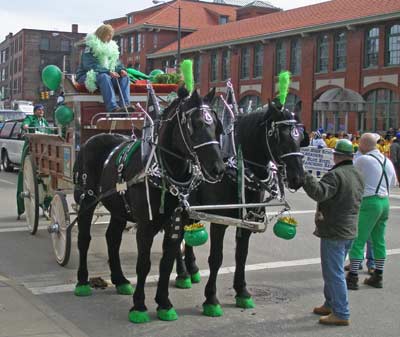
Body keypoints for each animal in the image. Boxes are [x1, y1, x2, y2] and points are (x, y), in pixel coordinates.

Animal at [73, 87, 225, 322]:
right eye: (196, 124)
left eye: (217, 125)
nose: (218, 168)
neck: (164, 171)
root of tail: (92, 139)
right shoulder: (145, 226)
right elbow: (143, 264)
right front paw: (139, 306)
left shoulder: (175, 225)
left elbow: (166, 263)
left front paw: (164, 303)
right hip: (86, 200)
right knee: (84, 238)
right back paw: (82, 281)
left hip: (118, 207)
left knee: (112, 238)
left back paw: (120, 280)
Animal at [175, 98, 304, 316]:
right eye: (280, 137)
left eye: (300, 136)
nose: (299, 178)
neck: (237, 173)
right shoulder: (219, 222)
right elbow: (216, 258)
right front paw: (211, 299)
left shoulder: (247, 222)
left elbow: (241, 256)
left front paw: (242, 292)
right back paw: (182, 274)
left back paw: (191, 269)